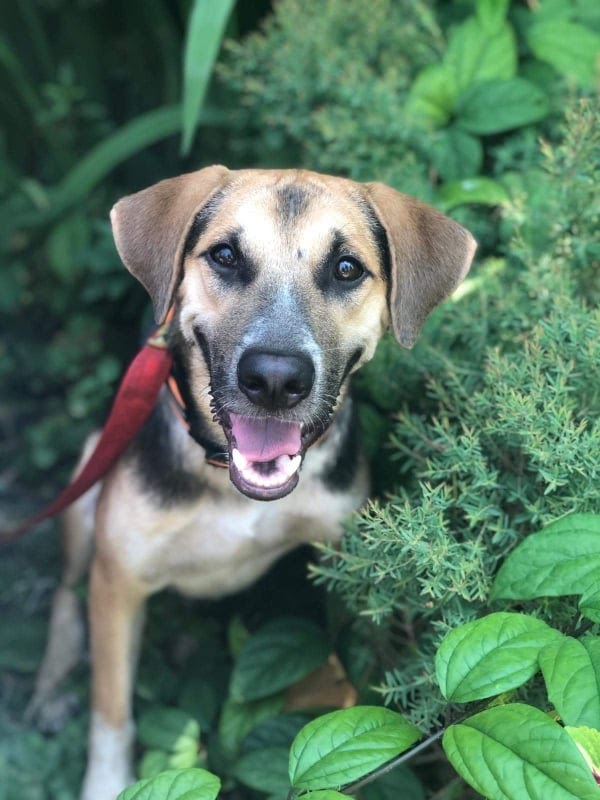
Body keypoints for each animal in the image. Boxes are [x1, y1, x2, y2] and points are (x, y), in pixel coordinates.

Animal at [28, 166, 476, 799]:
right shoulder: (120, 580)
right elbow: (111, 714)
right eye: (225, 256)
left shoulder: (340, 563)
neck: (228, 482)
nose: (275, 379)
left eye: (346, 268)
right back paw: (49, 692)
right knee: (68, 598)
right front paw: (105, 783)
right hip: (89, 475)